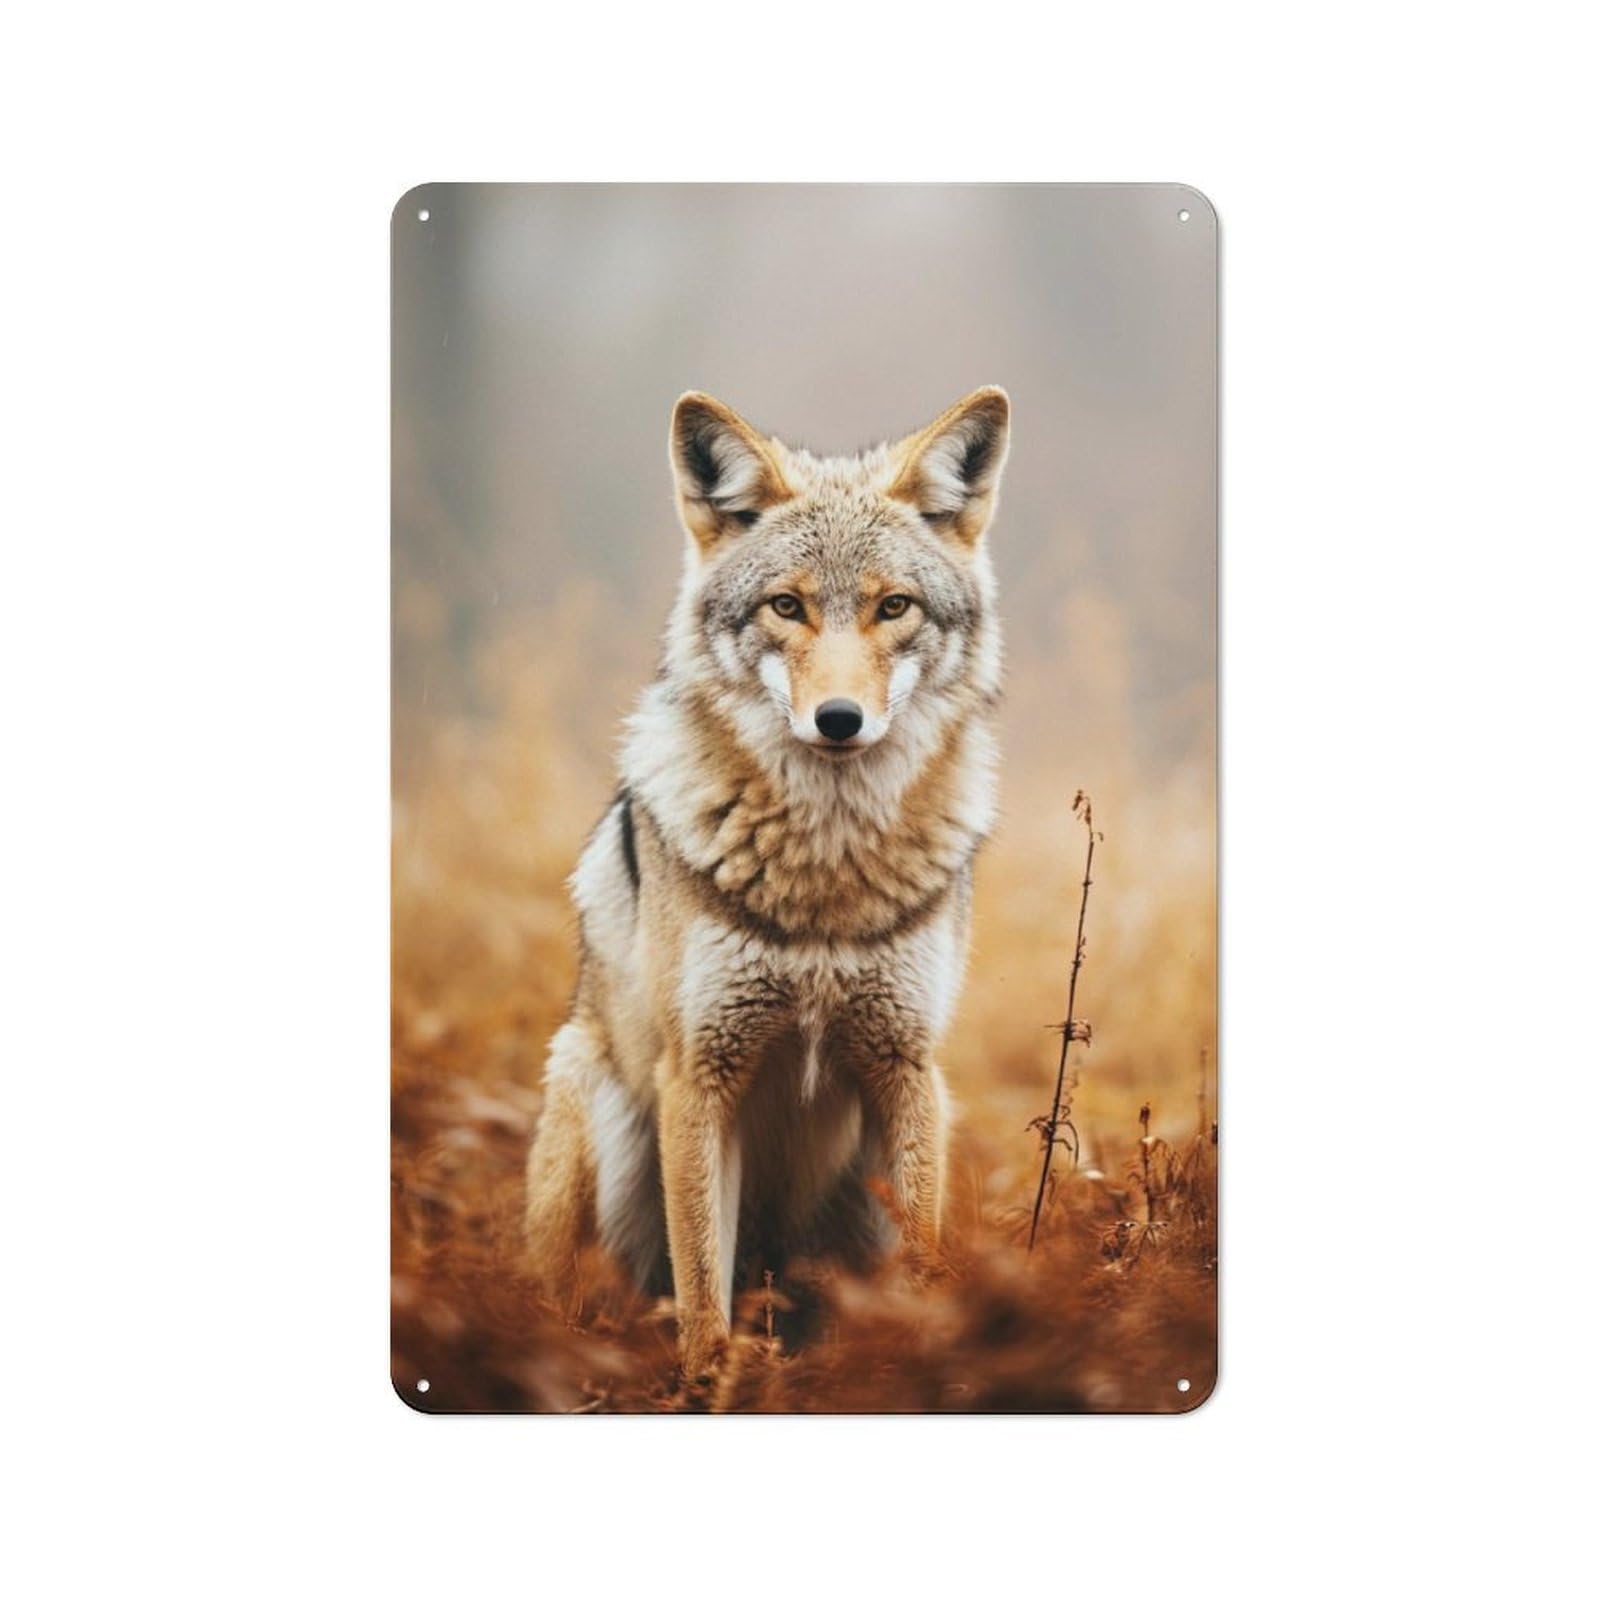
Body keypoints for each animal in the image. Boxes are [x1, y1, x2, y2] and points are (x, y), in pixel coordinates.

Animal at [523, 386, 1010, 1378]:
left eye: (893, 607)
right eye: (788, 606)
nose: (839, 720)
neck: (826, 871)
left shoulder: (907, 1068)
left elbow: (926, 1264)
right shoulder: (700, 1076)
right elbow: (703, 1283)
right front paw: (709, 1382)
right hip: (602, 1105)